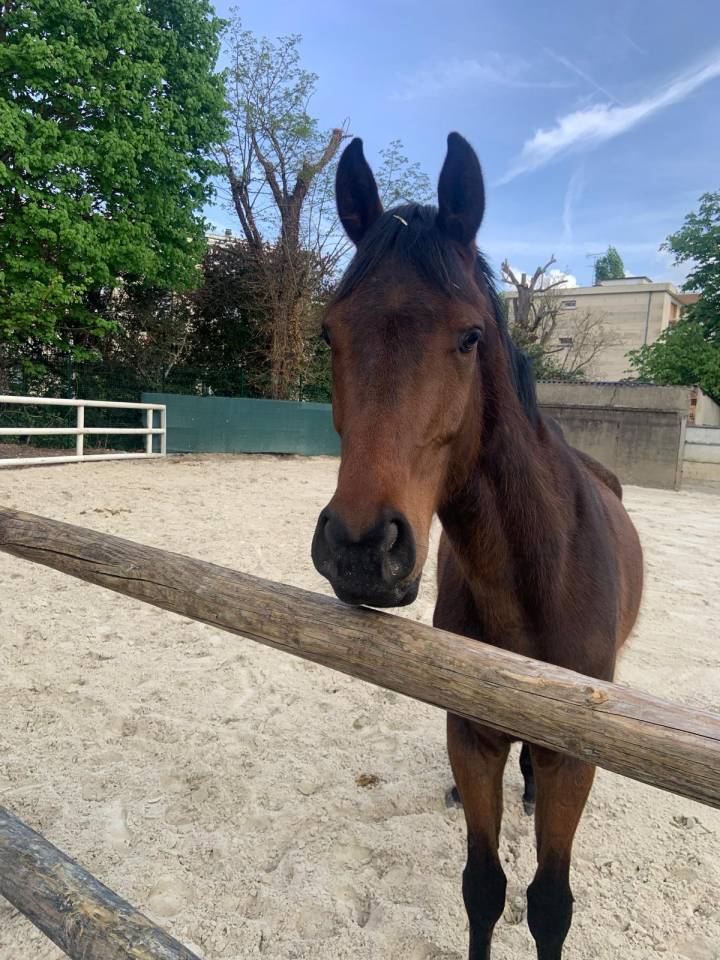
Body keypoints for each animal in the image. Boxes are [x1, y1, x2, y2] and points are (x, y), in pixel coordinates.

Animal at [311, 132, 644, 959]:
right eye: (329, 332)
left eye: (469, 336)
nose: (361, 546)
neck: (537, 573)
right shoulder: (471, 737)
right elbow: (483, 888)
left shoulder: (574, 759)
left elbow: (549, 903)